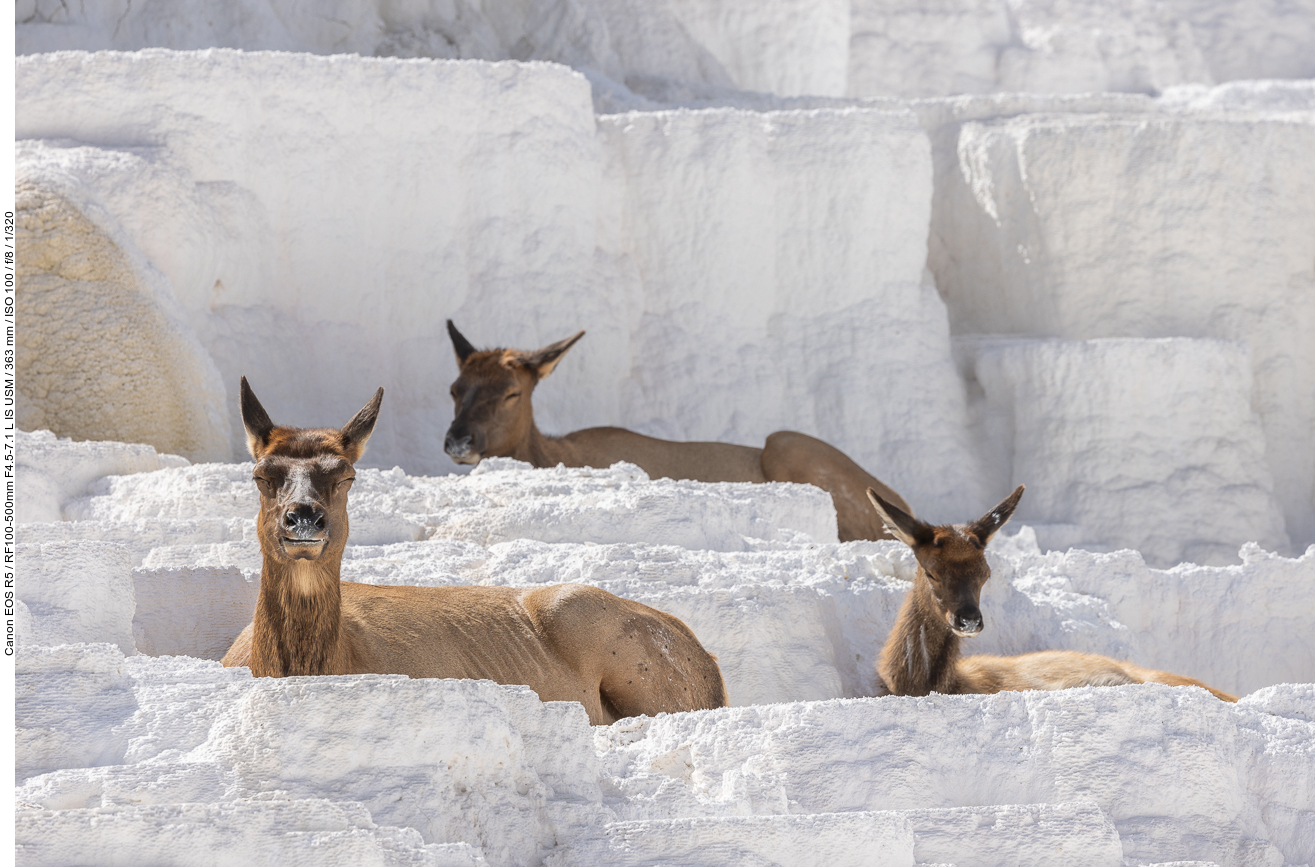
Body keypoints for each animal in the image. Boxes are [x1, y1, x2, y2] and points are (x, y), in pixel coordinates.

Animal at [441, 322, 915, 542]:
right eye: (455, 388)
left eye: (512, 393)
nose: (458, 440)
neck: (552, 454)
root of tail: (903, 500)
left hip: (788, 443)